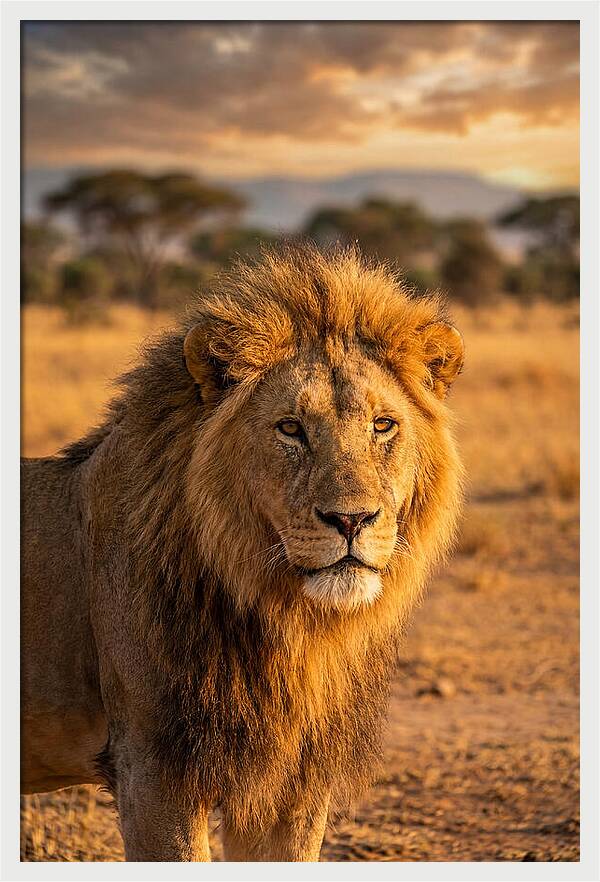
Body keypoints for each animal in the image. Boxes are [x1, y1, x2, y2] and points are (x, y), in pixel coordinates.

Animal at [21, 244, 464, 861]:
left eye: (383, 425)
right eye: (291, 428)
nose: (351, 520)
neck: (290, 625)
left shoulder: (293, 785)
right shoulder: (153, 772)